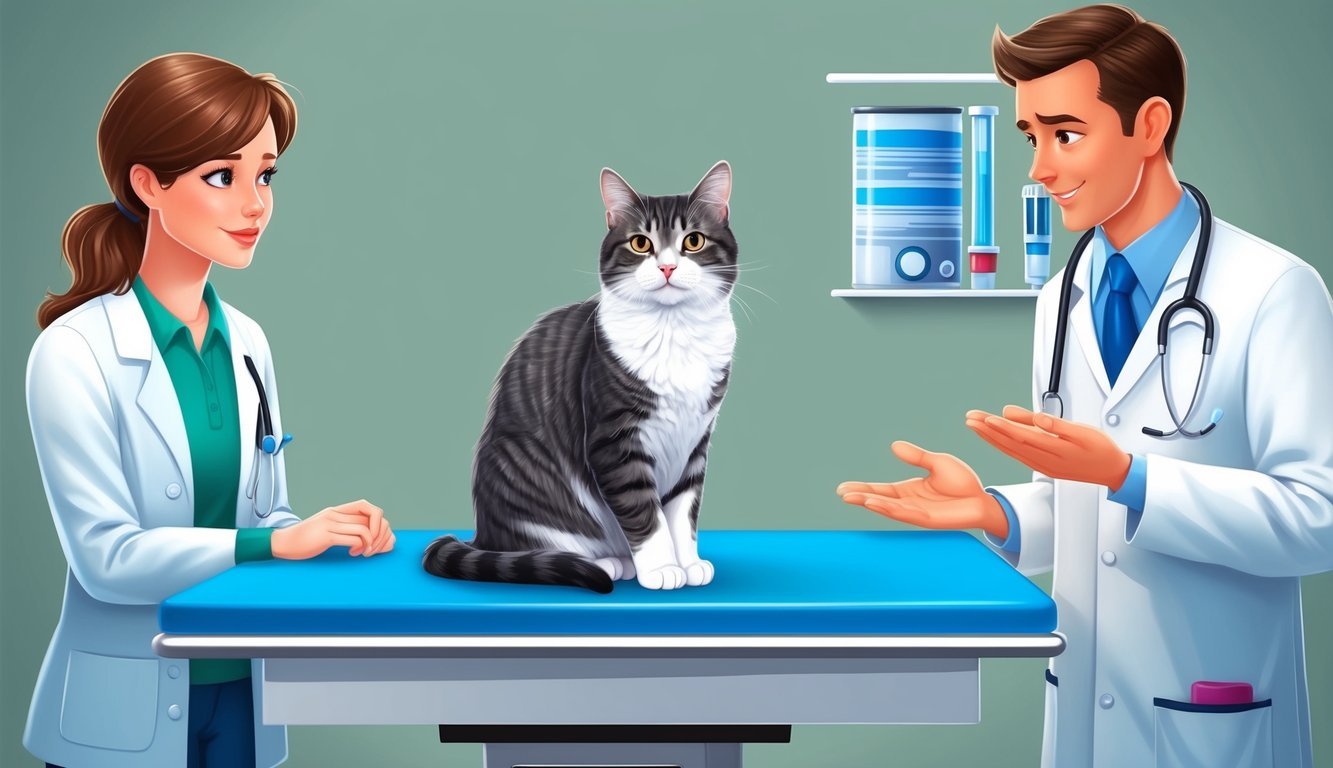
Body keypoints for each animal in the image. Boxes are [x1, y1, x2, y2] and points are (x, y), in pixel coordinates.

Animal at [421, 160, 741, 594]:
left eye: (693, 241)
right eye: (640, 243)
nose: (668, 266)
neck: (674, 332)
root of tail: (480, 536)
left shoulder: (694, 441)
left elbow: (682, 512)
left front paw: (688, 563)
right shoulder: (614, 440)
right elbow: (646, 513)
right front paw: (662, 568)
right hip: (525, 477)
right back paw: (607, 563)